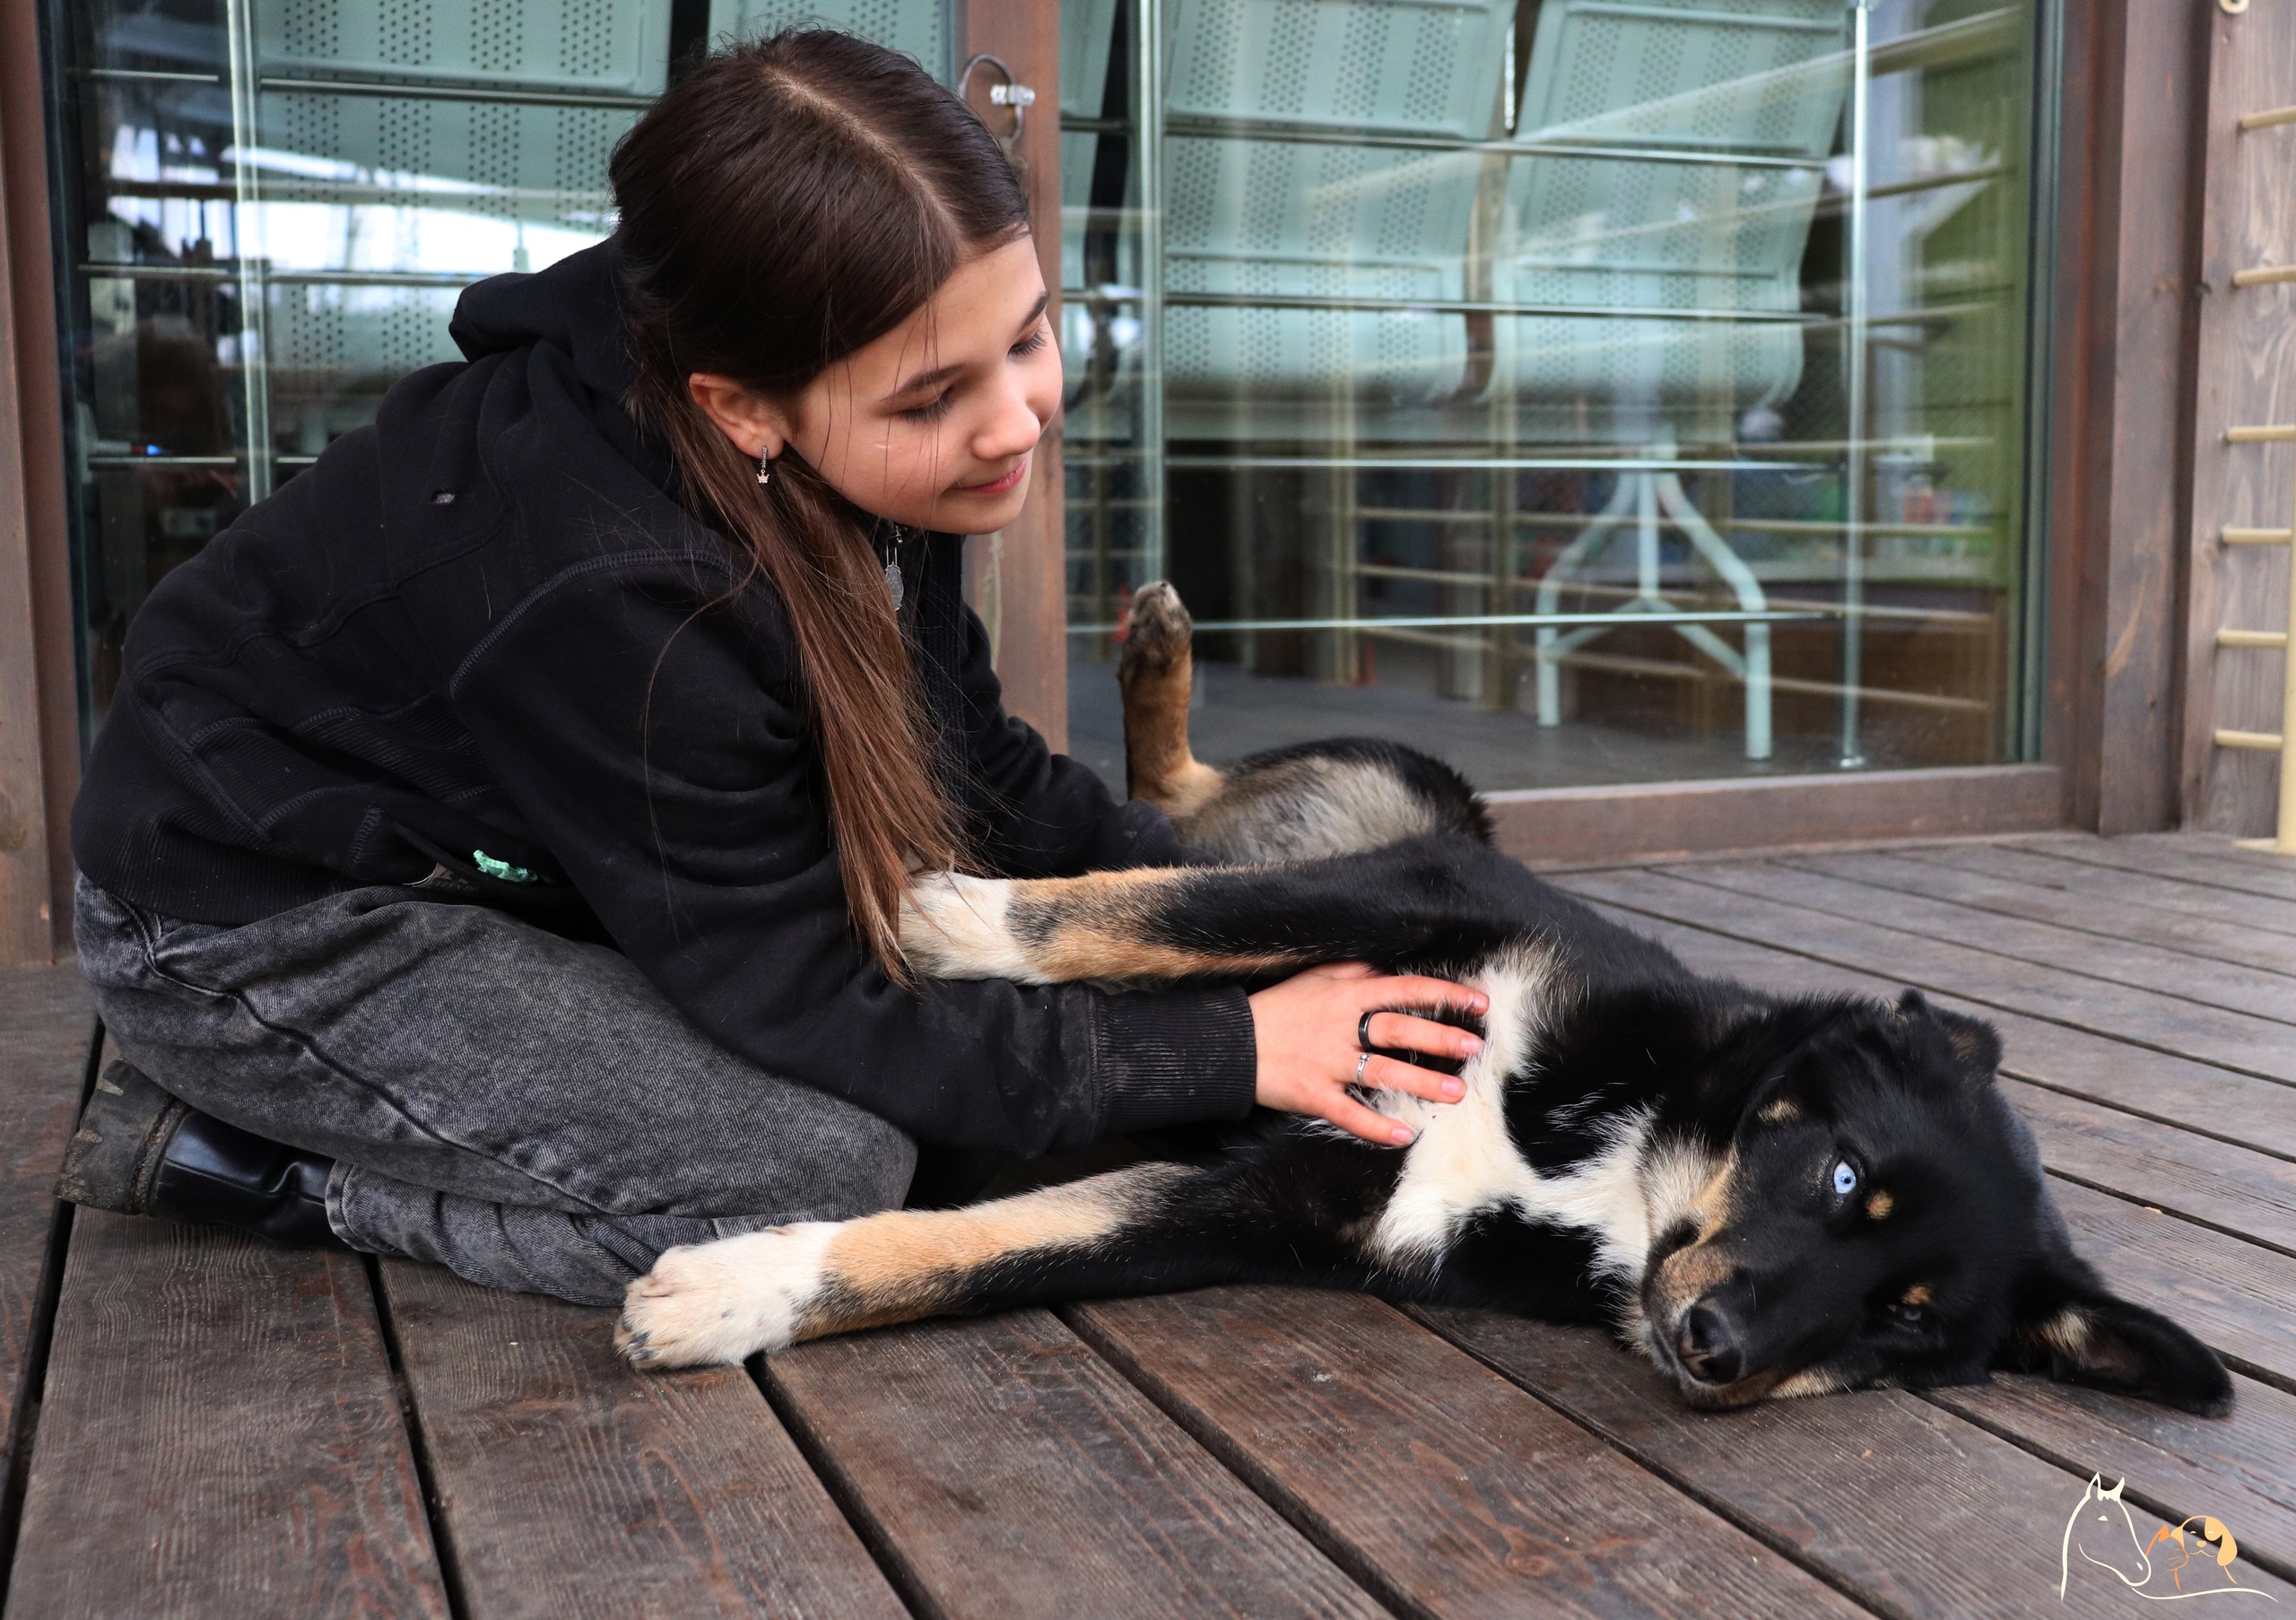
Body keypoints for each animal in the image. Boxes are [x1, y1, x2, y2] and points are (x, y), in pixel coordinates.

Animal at [620, 581, 2231, 1415]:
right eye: (1841, 1176)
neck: (1618, 1160)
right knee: (1177, 823)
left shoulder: (1285, 1207)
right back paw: (1154, 668)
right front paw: (953, 919)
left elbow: (976, 1254)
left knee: (1176, 815)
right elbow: (1158, 912)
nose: (1720, 1354)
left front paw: (741, 1291)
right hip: (1415, 791)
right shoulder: (1421, 900)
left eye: (1900, 1329)